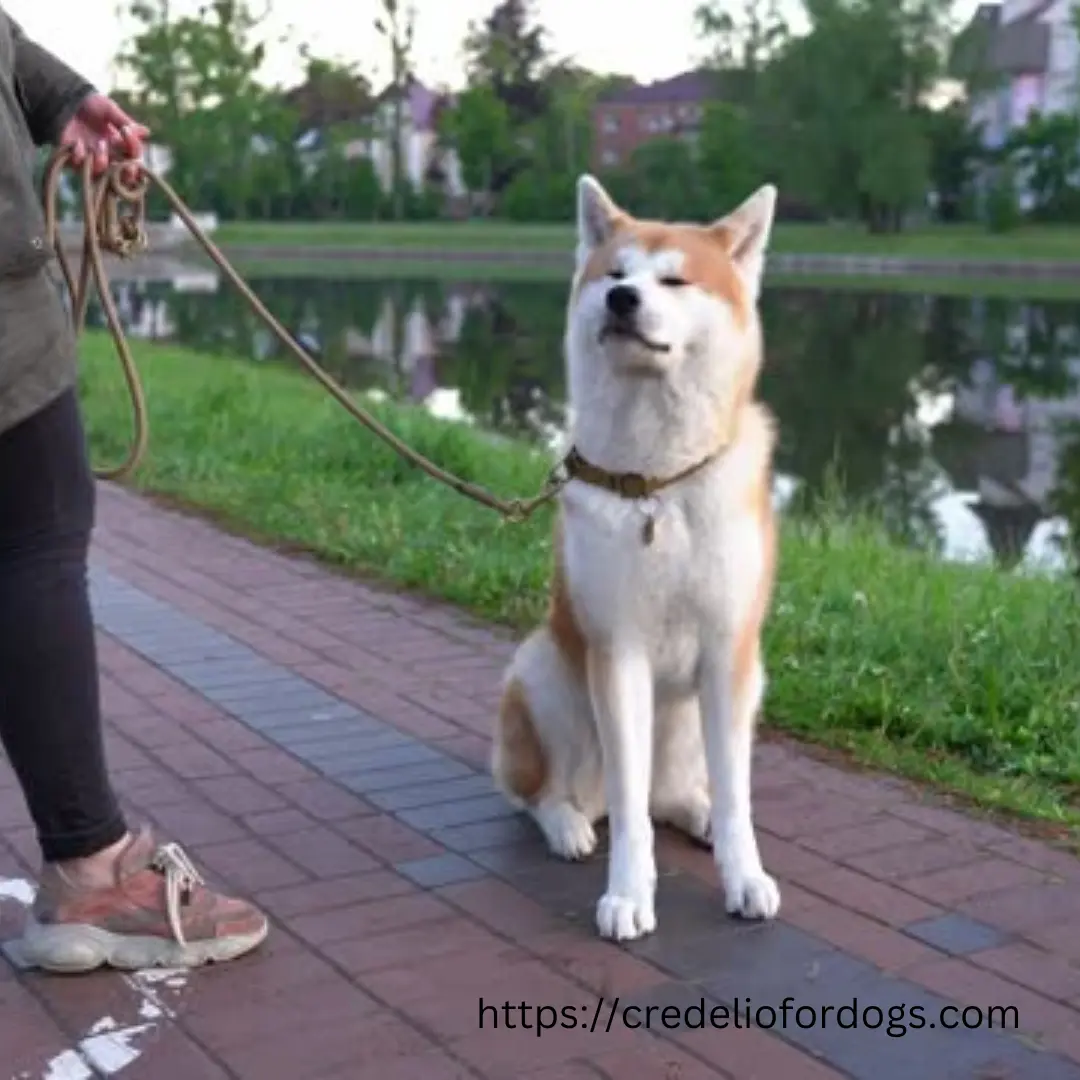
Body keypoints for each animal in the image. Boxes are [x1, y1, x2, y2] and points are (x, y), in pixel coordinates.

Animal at [492, 172, 786, 941]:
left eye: (675, 279)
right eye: (614, 274)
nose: (623, 299)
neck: (657, 482)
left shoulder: (729, 651)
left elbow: (739, 798)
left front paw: (745, 875)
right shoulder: (616, 651)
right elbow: (628, 817)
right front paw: (628, 894)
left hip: (736, 693)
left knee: (674, 796)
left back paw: (697, 812)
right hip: (542, 673)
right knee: (549, 793)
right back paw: (566, 823)